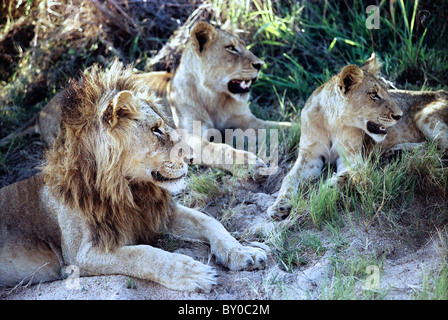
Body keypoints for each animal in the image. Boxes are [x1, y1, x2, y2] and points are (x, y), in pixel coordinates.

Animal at [0, 60, 266, 292]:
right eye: (155, 129)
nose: (192, 158)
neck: (129, 189)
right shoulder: (78, 256)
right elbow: (143, 253)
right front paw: (192, 273)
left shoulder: (157, 213)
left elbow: (210, 221)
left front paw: (243, 252)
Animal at [268, 53, 446, 219]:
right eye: (374, 95)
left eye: (388, 92)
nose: (399, 115)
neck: (333, 122)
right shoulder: (309, 156)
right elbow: (288, 179)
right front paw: (279, 206)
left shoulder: (353, 159)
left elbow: (342, 178)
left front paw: (318, 197)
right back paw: (395, 153)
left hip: (425, 117)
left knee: (439, 153)